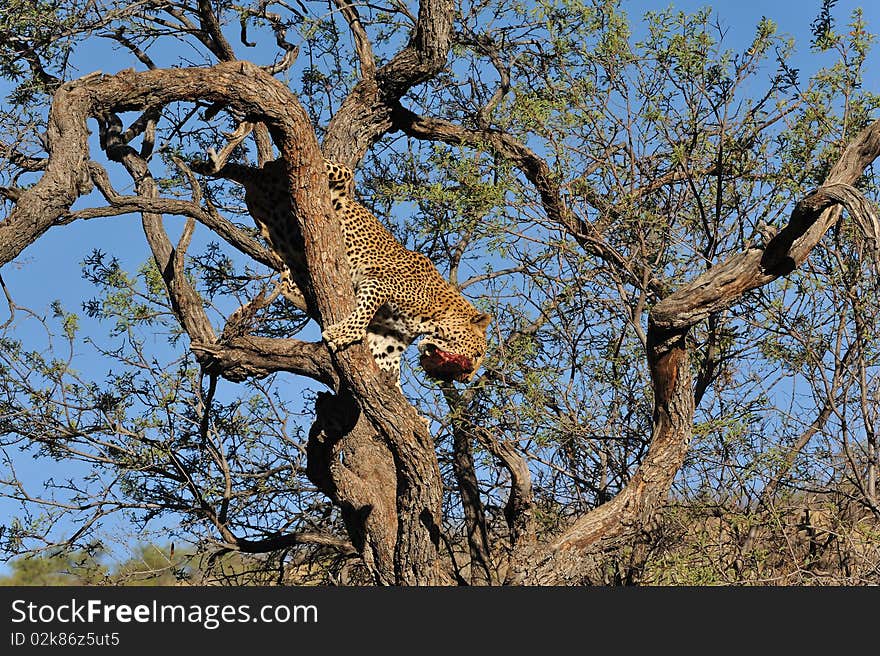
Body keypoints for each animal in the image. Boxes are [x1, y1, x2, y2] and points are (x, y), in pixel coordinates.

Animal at [196, 133, 492, 384]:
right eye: (477, 354)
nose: (466, 378)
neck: (434, 315)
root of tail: (260, 178)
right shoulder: (380, 283)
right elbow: (363, 311)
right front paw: (342, 333)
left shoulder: (387, 343)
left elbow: (390, 375)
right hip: (336, 181)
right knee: (309, 165)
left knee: (286, 276)